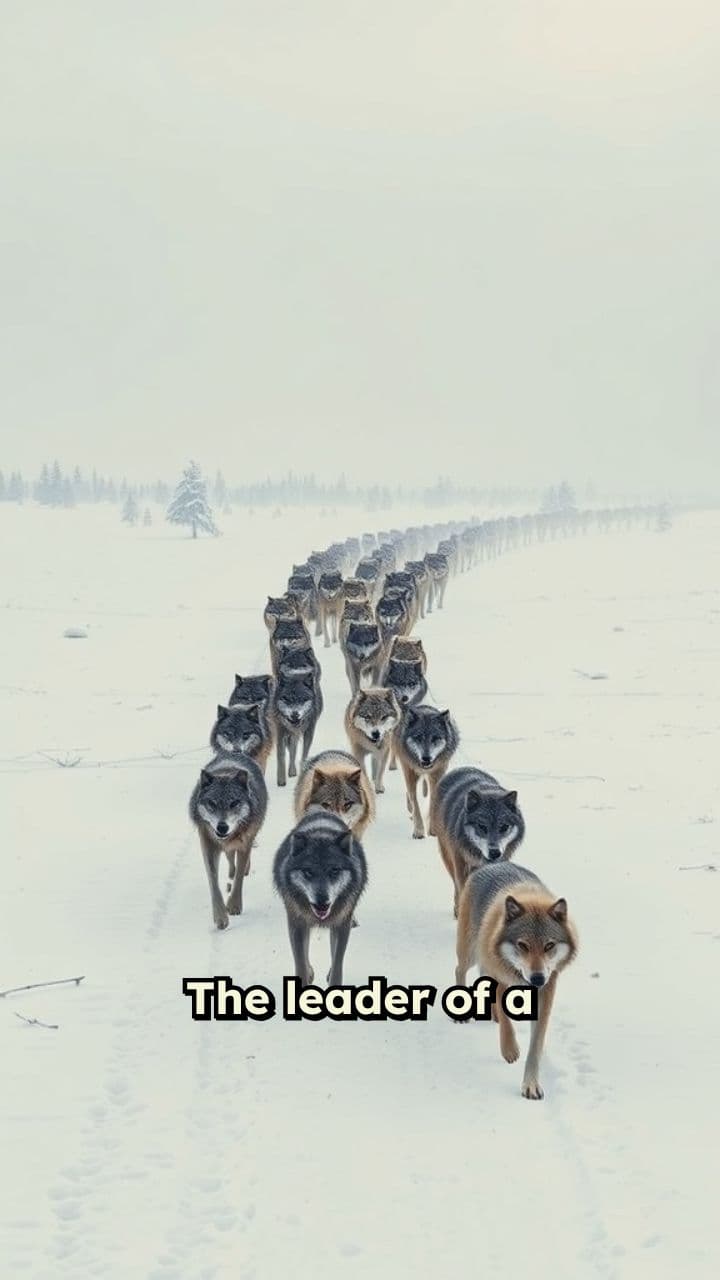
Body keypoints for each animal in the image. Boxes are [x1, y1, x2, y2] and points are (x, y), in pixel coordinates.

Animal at [189, 753, 268, 929]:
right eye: (212, 803)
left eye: (234, 803)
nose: (222, 827)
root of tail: (236, 752)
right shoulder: (208, 844)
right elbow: (213, 882)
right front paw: (220, 917)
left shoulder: (244, 844)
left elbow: (239, 878)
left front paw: (234, 905)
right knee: (230, 859)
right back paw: (230, 874)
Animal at [273, 811, 368, 986]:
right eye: (308, 872)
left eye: (334, 871)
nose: (322, 903)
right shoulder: (296, 924)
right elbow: (300, 964)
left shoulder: (342, 924)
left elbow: (337, 966)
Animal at [394, 705, 459, 838]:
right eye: (418, 737)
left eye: (435, 738)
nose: (426, 758)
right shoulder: (409, 771)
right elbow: (414, 801)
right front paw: (418, 830)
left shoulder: (437, 773)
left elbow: (433, 800)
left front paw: (433, 829)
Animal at [430, 767, 525, 914]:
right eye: (482, 826)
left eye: (504, 827)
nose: (494, 853)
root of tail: (462, 767)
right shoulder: (461, 867)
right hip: (447, 856)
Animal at [455, 861, 578, 1100]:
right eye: (523, 945)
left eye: (549, 945)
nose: (538, 978)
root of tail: (494, 863)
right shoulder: (501, 977)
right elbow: (506, 1021)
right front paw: (510, 1050)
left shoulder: (546, 992)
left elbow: (536, 1046)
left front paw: (531, 1085)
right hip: (471, 953)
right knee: (459, 970)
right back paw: (462, 1015)